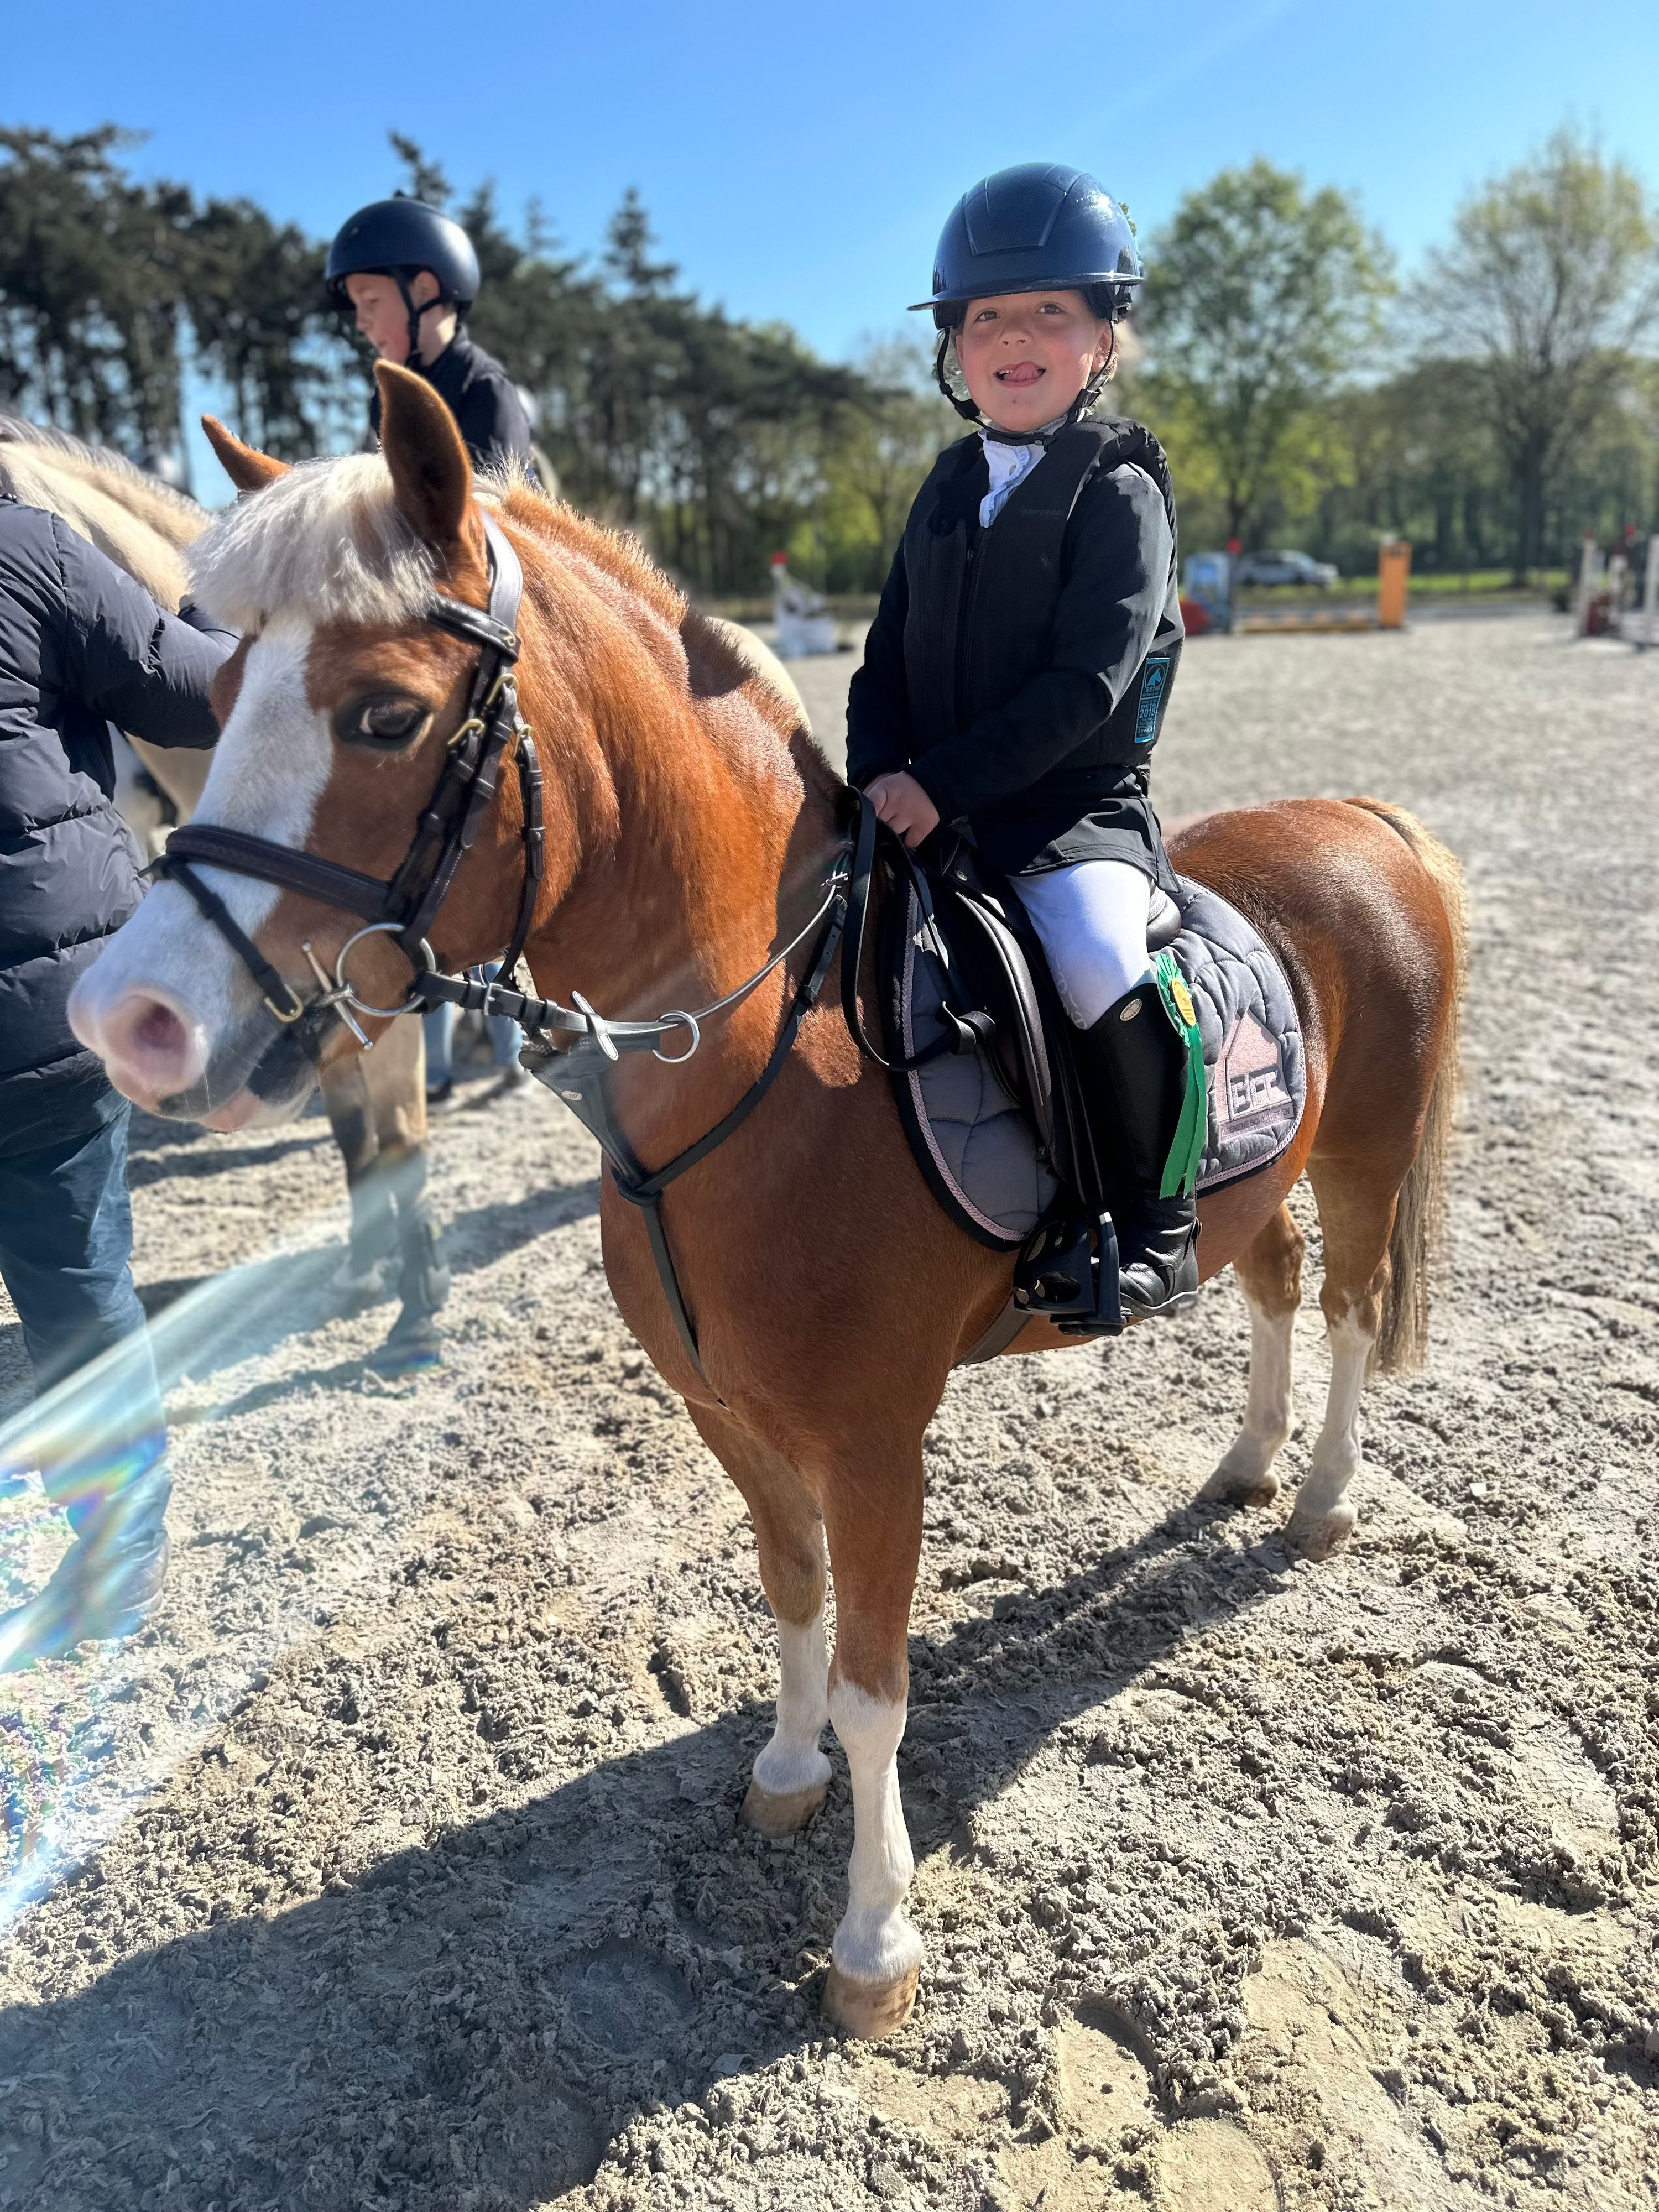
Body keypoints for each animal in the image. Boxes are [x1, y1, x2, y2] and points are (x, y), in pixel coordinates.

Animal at [67, 364, 1465, 2040]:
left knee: (1345, 1309)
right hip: (1260, 1185)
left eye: (385, 715)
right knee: (1273, 1283)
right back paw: (1245, 1467)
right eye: (210, 708)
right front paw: (785, 1773)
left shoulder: (873, 1444)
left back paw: (1316, 1499)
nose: (128, 1021)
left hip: (1367, 1150)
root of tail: (1364, 819)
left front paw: (873, 1941)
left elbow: (876, 1684)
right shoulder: (729, 1414)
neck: (760, 1066)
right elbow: (790, 1600)